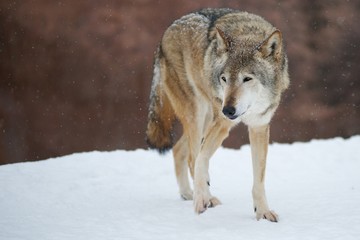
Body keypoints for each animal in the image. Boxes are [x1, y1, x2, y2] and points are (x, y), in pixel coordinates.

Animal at [145, 7, 288, 222]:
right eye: (224, 79)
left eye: (247, 79)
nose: (227, 110)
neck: (247, 32)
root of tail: (166, 33)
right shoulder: (222, 123)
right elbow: (201, 160)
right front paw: (201, 200)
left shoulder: (259, 126)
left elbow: (259, 179)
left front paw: (263, 213)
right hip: (198, 114)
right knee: (192, 156)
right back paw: (204, 197)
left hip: (205, 119)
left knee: (179, 150)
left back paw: (187, 194)